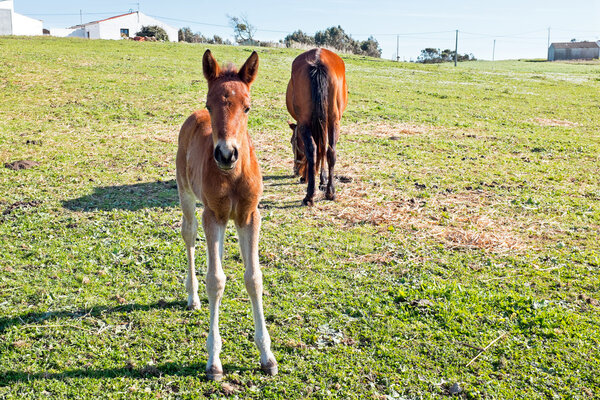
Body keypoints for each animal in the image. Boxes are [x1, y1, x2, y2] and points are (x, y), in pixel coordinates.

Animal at [173, 50, 276, 382]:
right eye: (210, 103)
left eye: (247, 106)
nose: (226, 154)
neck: (232, 176)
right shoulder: (213, 215)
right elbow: (215, 280)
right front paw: (214, 361)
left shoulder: (249, 217)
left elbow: (253, 278)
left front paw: (267, 356)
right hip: (187, 196)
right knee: (190, 237)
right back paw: (193, 297)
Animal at [286, 48, 346, 206]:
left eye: (292, 143)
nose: (296, 170)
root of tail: (318, 61)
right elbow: (323, 149)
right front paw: (323, 181)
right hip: (333, 121)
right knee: (330, 151)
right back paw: (330, 192)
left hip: (305, 122)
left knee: (313, 150)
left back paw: (310, 194)